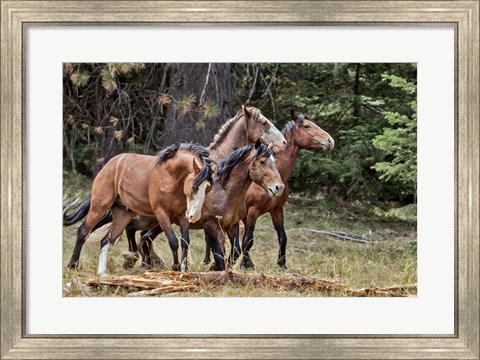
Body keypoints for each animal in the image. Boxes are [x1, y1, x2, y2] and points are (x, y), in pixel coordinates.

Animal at [66, 142, 213, 274]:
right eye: (194, 187)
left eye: (208, 189)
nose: (195, 216)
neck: (170, 176)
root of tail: (110, 164)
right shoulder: (162, 213)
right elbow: (173, 241)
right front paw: (176, 268)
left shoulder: (183, 216)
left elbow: (185, 242)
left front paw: (184, 269)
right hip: (99, 206)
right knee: (83, 231)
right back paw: (73, 265)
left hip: (123, 214)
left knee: (106, 240)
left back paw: (102, 273)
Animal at [239, 111, 334, 268]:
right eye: (307, 126)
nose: (330, 141)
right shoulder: (252, 211)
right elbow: (248, 239)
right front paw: (244, 265)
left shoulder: (277, 210)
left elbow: (282, 237)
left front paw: (282, 264)